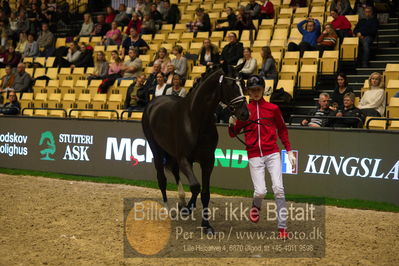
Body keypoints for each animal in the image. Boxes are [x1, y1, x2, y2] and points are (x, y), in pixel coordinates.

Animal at [142, 64, 250, 233]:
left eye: (243, 84)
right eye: (231, 85)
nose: (244, 113)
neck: (195, 119)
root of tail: (153, 102)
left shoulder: (207, 160)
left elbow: (205, 192)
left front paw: (205, 224)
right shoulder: (184, 158)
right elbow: (195, 186)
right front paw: (188, 209)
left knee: (175, 172)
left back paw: (181, 202)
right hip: (157, 150)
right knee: (162, 179)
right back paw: (167, 210)